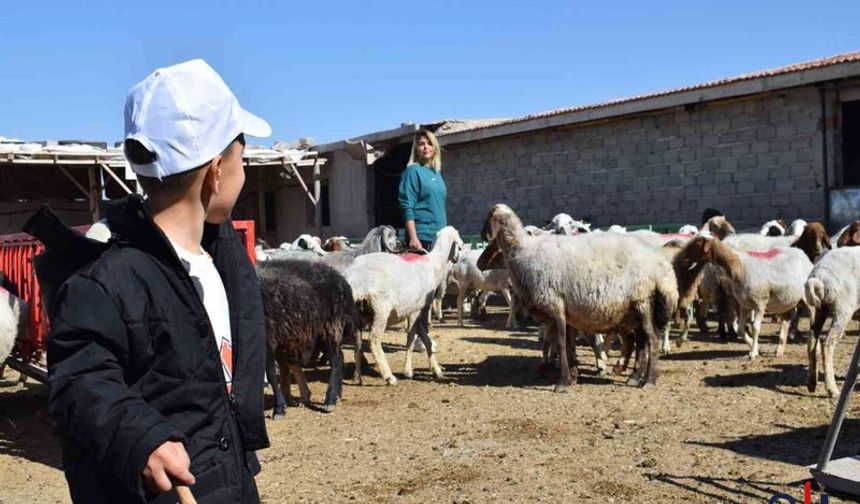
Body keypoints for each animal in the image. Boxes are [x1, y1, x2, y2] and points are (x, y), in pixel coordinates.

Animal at [255, 258, 356, 416]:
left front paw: (279, 408)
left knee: (336, 361)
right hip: (318, 335)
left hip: (330, 327)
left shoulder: (267, 337)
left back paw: (330, 400)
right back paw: (337, 395)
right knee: (340, 356)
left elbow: (270, 373)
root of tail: (340, 279)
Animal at [344, 228, 464, 386]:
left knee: (357, 343)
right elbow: (410, 339)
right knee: (373, 340)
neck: (433, 265)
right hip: (380, 310)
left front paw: (436, 370)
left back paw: (357, 377)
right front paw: (408, 371)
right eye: (460, 247)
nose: (456, 259)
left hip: (358, 315)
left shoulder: (419, 311)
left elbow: (426, 339)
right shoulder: (415, 311)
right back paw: (389, 376)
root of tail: (355, 280)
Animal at [478, 205, 680, 390]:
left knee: (652, 339)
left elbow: (560, 343)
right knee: (642, 341)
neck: (523, 252)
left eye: (488, 217)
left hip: (643, 301)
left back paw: (649, 380)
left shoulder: (555, 306)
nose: (482, 236)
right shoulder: (565, 313)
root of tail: (664, 269)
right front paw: (572, 377)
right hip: (635, 311)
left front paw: (562, 382)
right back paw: (635, 377)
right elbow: (568, 345)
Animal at [804, 247, 860, 398]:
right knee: (827, 343)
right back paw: (832, 389)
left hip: (820, 308)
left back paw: (812, 382)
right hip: (843, 308)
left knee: (812, 337)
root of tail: (820, 274)